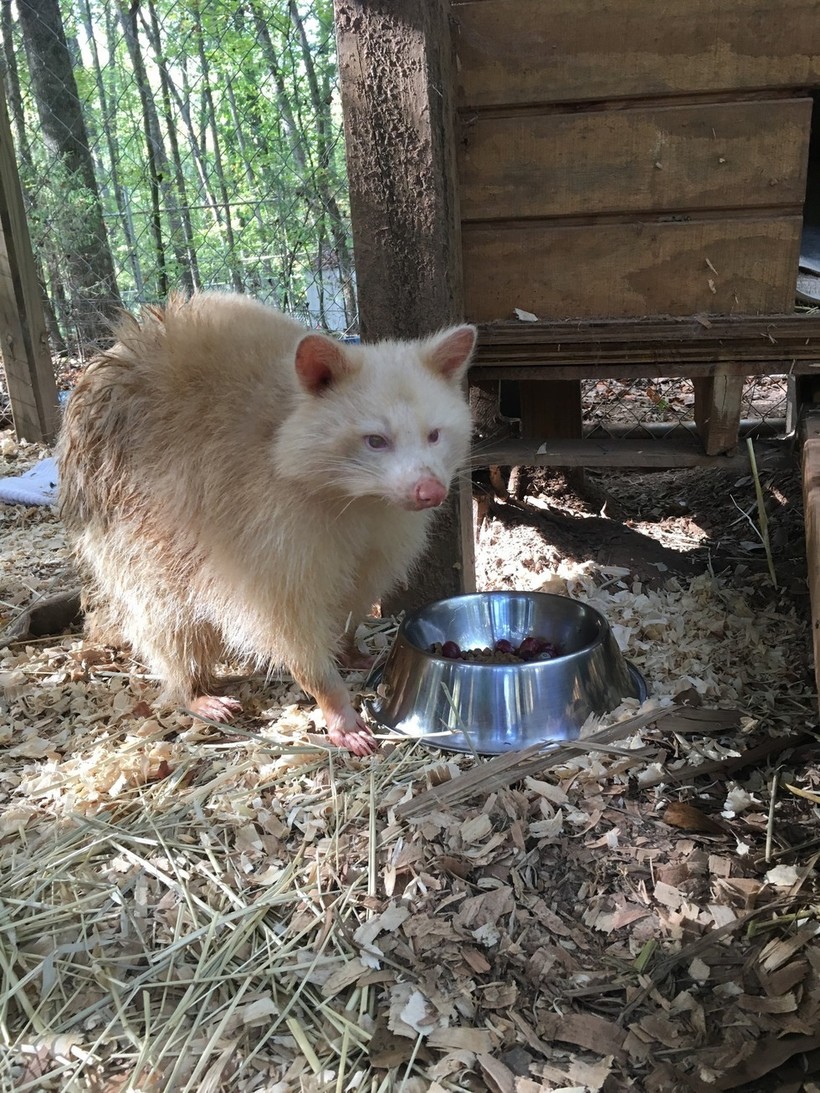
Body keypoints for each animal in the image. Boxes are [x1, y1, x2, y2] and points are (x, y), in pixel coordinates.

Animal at [57, 290, 478, 751]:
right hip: (122, 524)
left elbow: (357, 587)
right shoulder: (258, 523)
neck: (358, 496)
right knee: (165, 617)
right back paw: (191, 688)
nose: (431, 492)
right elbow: (285, 619)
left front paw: (346, 643)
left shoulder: (384, 527)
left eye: (434, 434)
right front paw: (331, 697)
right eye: (375, 441)